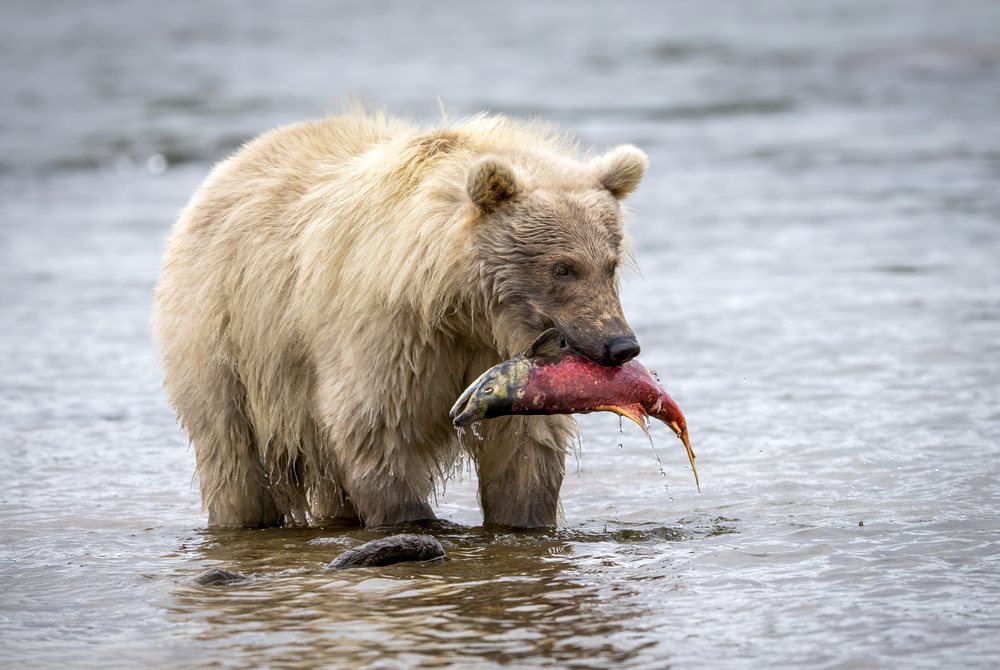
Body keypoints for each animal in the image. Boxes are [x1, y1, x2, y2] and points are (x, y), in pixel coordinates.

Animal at [154, 109, 647, 529]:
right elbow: (376, 426)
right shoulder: (391, 334)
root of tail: (235, 160)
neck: (460, 307)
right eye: (563, 268)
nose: (621, 344)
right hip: (223, 337)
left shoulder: (504, 361)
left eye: (609, 264)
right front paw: (410, 519)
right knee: (233, 455)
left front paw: (524, 517)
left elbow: (524, 444)